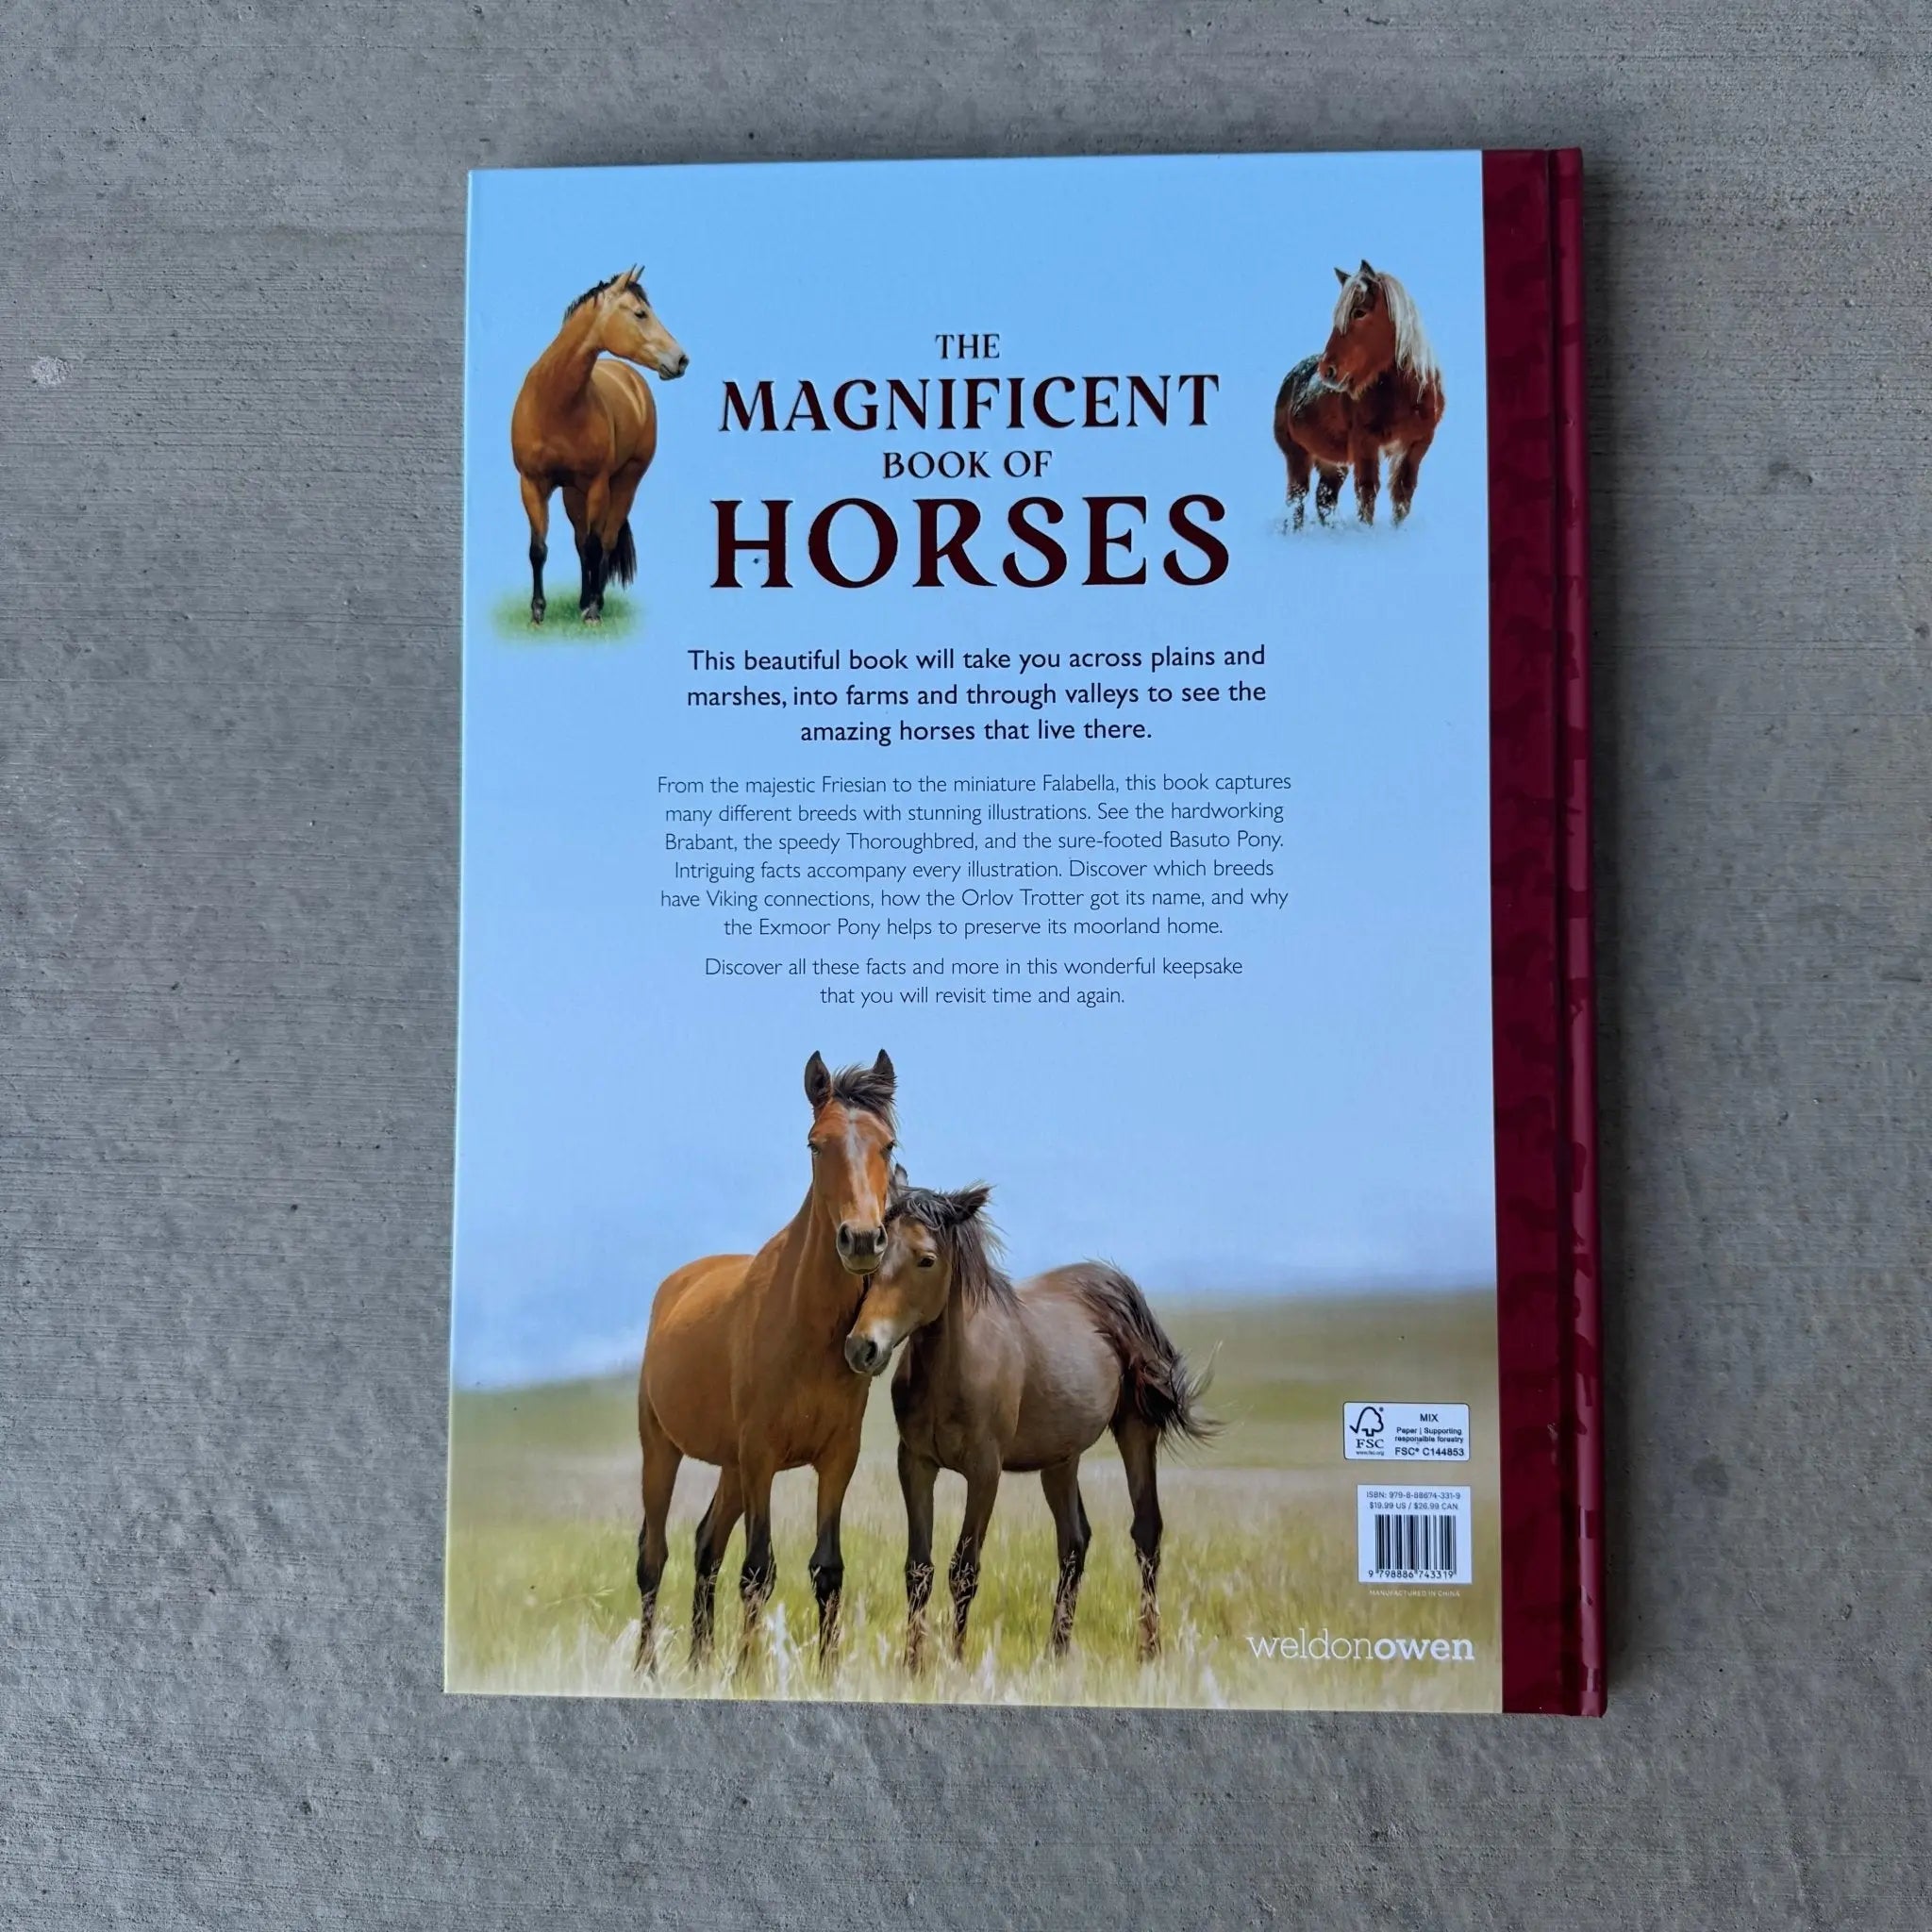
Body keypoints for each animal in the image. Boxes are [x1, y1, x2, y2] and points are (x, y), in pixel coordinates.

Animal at [510, 266, 689, 625]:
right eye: (640, 313)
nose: (680, 359)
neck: (555, 403)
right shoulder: (532, 484)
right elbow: (538, 549)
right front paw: (537, 613)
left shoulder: (596, 485)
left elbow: (596, 545)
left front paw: (592, 612)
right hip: (571, 493)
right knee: (580, 542)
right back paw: (582, 600)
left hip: (625, 483)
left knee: (604, 539)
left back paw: (595, 603)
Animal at [635, 1050, 896, 1675]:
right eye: (815, 1144)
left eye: (888, 1145)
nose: (861, 1240)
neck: (807, 1330)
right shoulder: (761, 1457)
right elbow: (758, 1569)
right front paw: (748, 1671)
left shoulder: (837, 1459)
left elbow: (827, 1570)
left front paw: (827, 1672)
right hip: (662, 1450)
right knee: (654, 1556)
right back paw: (647, 1667)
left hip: (729, 1467)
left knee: (706, 1545)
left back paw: (699, 1663)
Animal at [843, 1181, 1216, 1670]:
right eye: (877, 1252)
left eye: (926, 1259)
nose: (862, 1347)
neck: (952, 1371)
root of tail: (1115, 1286)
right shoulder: (916, 1464)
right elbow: (919, 1569)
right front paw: (912, 1666)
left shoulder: (985, 1471)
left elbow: (964, 1569)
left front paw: (955, 1662)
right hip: (1060, 1459)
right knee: (1074, 1542)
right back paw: (1056, 1651)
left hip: (1136, 1430)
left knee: (1146, 1533)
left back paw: (1148, 1651)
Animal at [1272, 260, 1445, 529]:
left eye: (1360, 312)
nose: (1327, 370)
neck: (1404, 396)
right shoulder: (1365, 443)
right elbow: (1367, 492)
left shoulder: (1417, 443)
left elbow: (1403, 494)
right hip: (1298, 456)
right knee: (1297, 500)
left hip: (1333, 463)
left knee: (1325, 499)